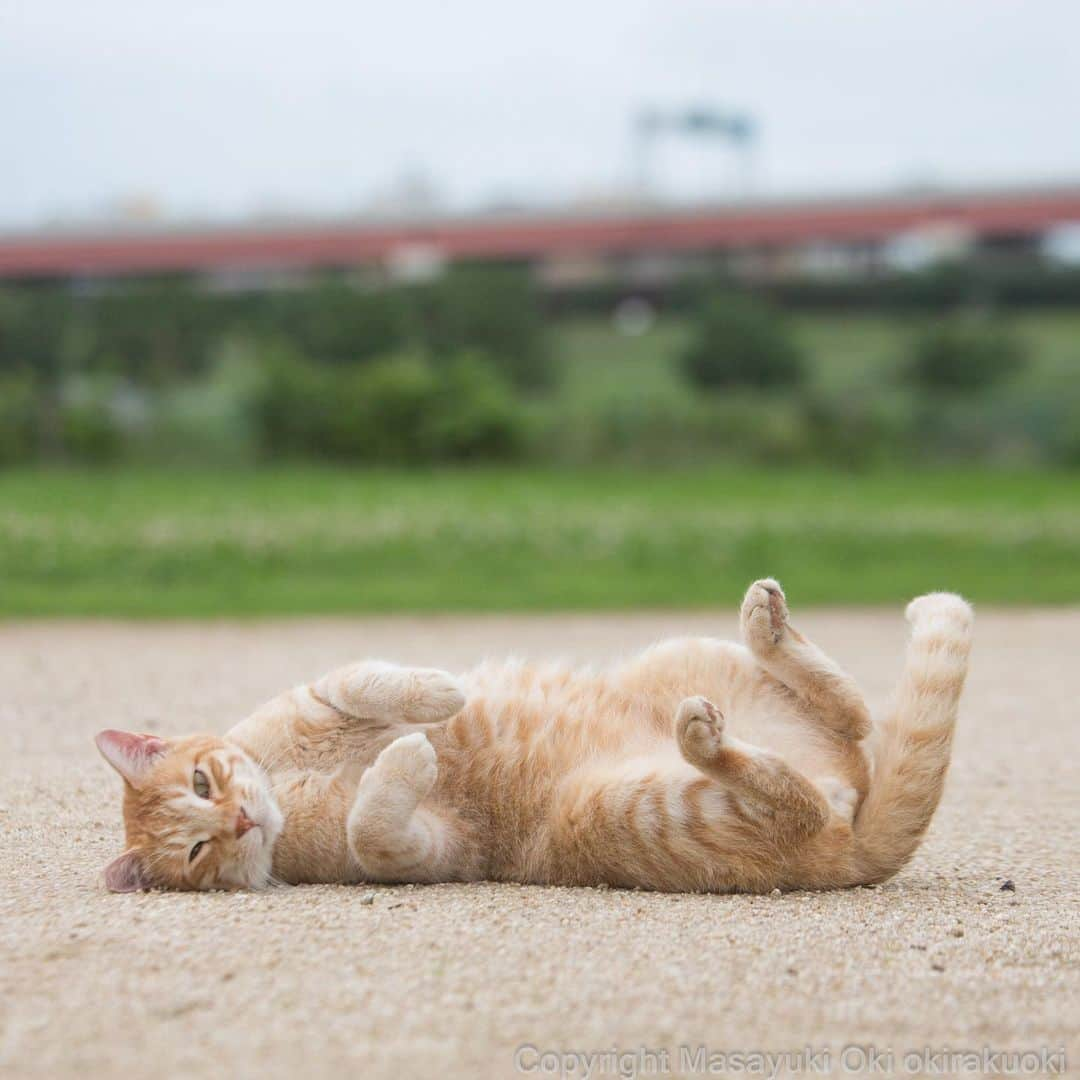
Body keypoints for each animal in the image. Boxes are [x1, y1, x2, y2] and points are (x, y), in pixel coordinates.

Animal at [97, 583, 972, 894]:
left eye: (204, 784)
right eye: (196, 853)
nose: (243, 820)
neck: (290, 788)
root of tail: (864, 850)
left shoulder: (323, 696)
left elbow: (369, 683)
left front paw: (438, 700)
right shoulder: (433, 852)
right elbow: (376, 827)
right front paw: (408, 758)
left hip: (678, 656)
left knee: (854, 717)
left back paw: (768, 623)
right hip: (627, 813)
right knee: (806, 791)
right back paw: (707, 738)